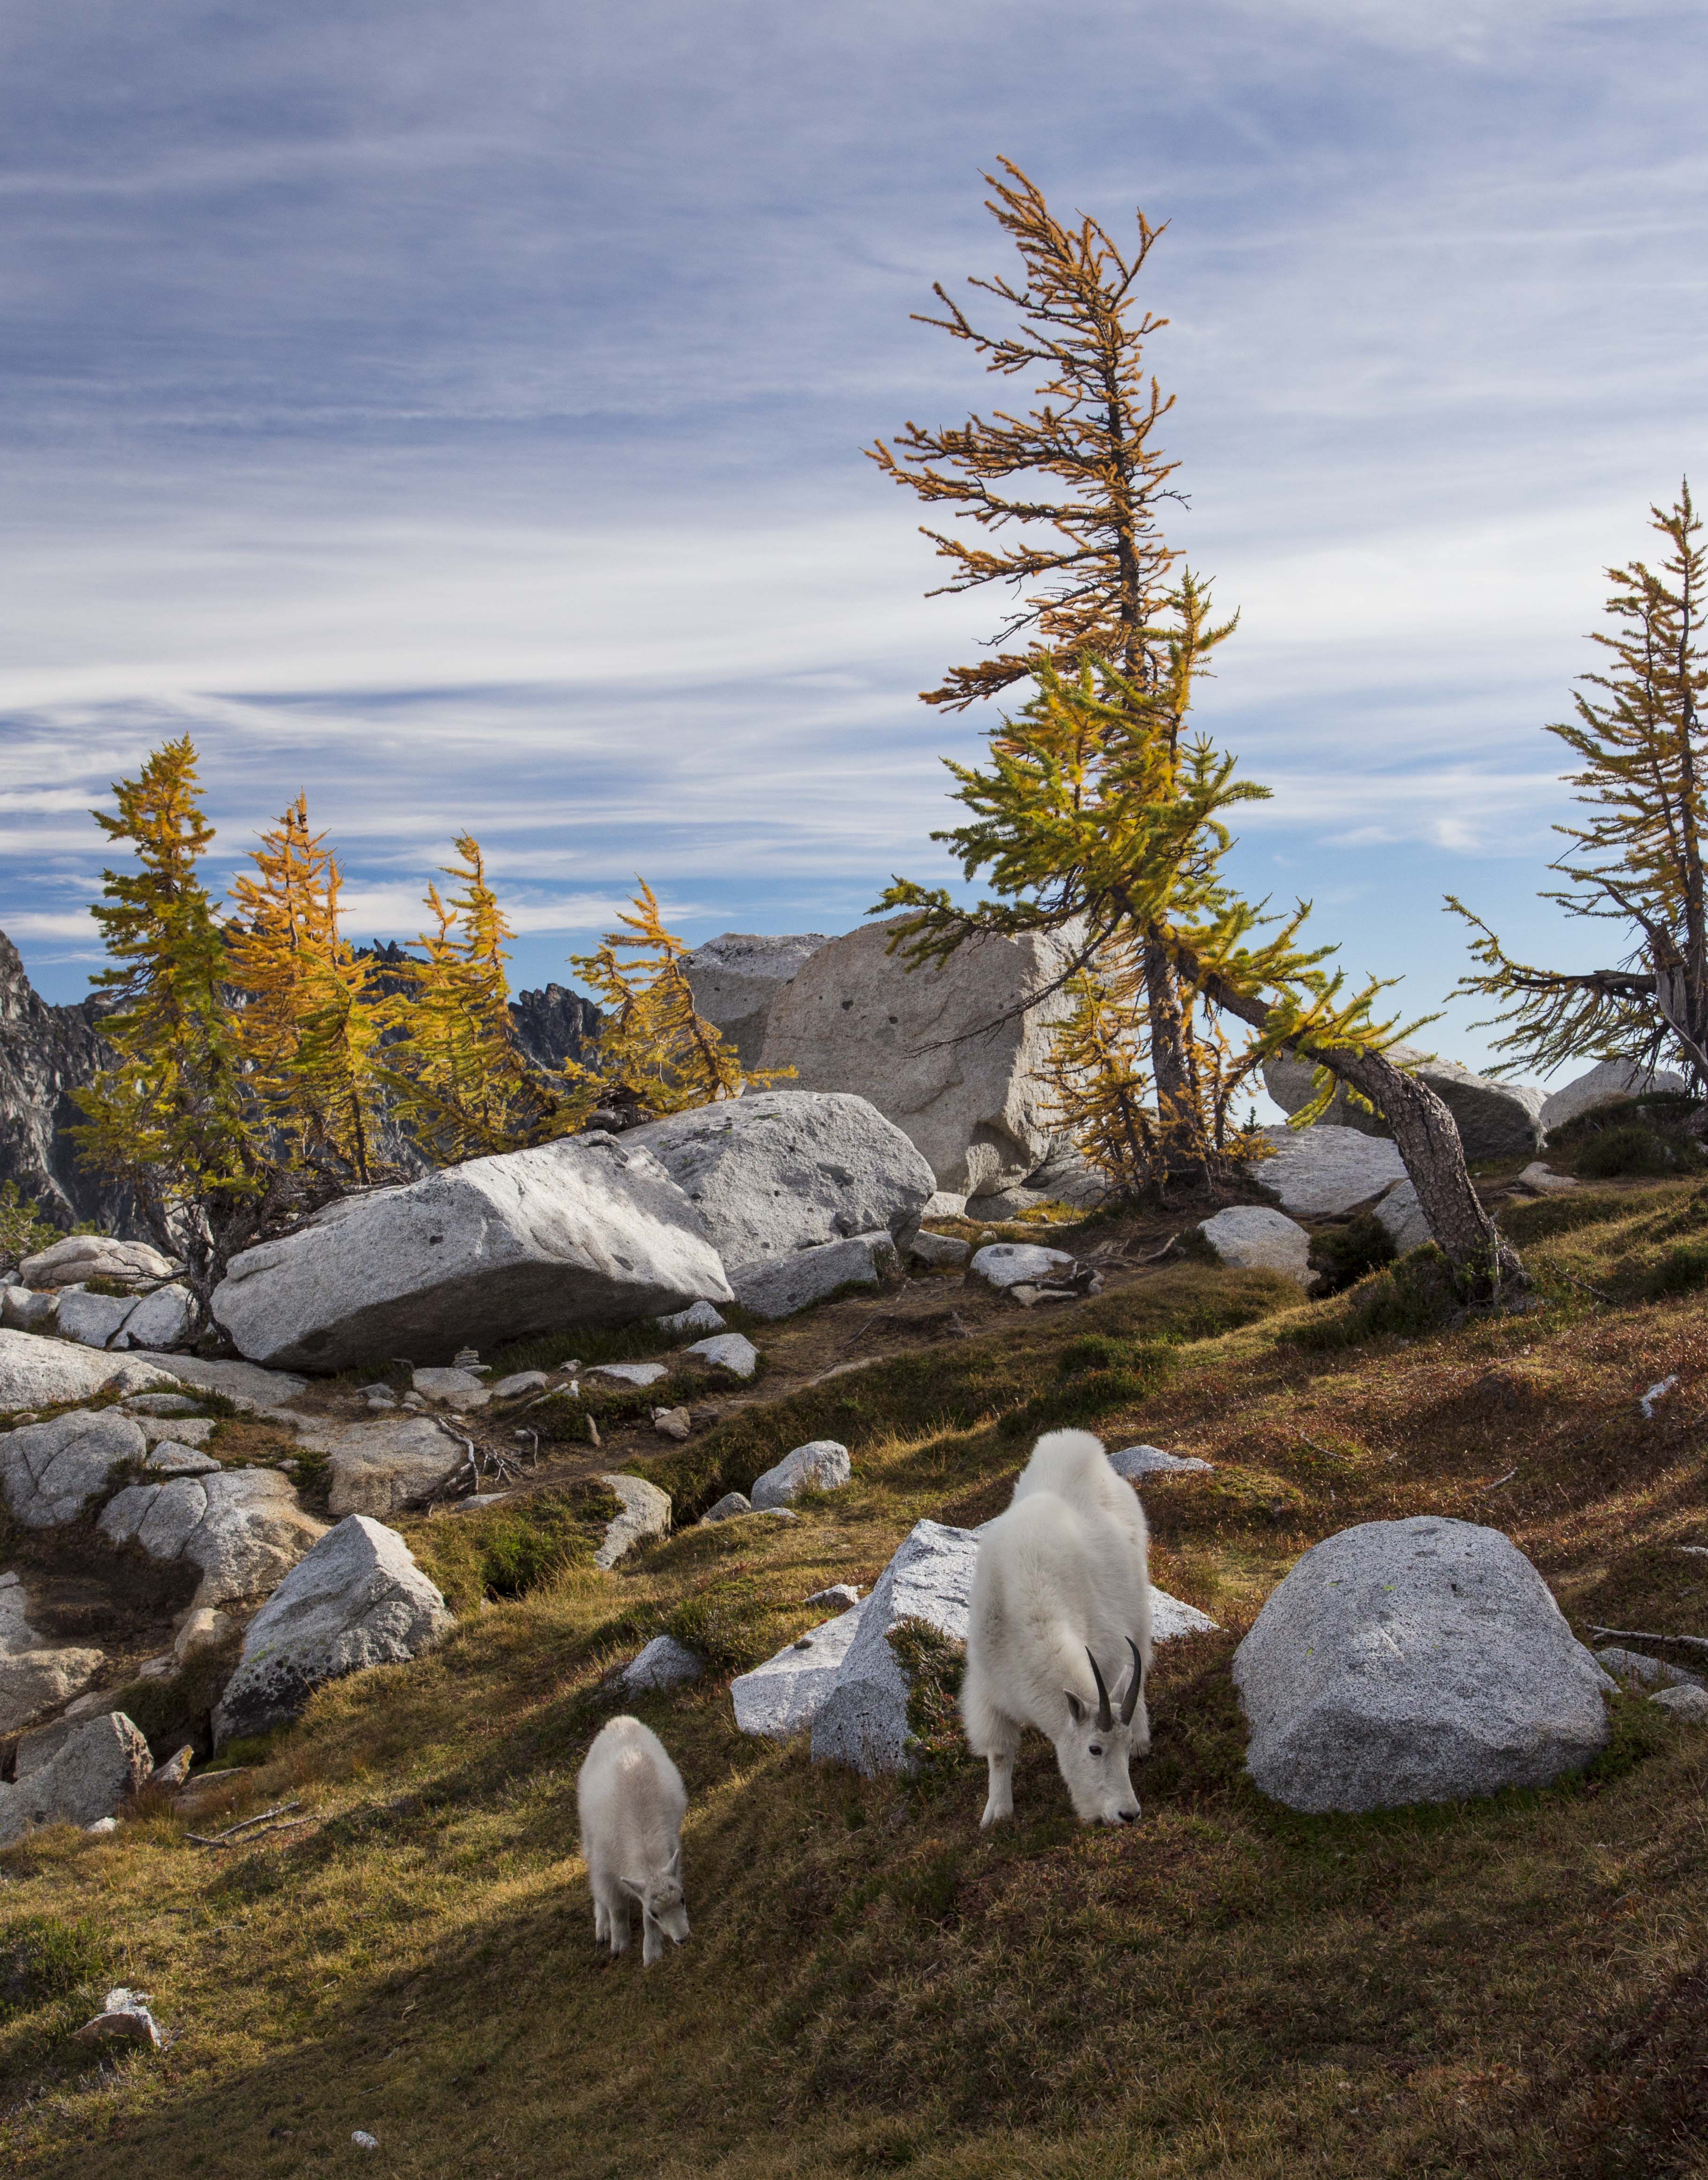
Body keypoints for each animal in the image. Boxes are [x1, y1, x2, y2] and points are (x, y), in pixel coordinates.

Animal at [575, 1715, 691, 1963]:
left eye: (683, 1899)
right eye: (656, 1913)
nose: (684, 1939)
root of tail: (620, 1720)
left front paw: (652, 1951)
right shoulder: (605, 1873)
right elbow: (617, 1909)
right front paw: (619, 1945)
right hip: (588, 1836)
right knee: (598, 1892)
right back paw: (603, 1928)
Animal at [961, 1428, 1153, 1827]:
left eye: (1123, 1747)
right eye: (1094, 1749)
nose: (1128, 1813)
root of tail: (1083, 1446)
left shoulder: (1107, 1651)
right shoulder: (988, 1688)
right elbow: (999, 1752)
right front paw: (997, 1813)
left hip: (1138, 1601)